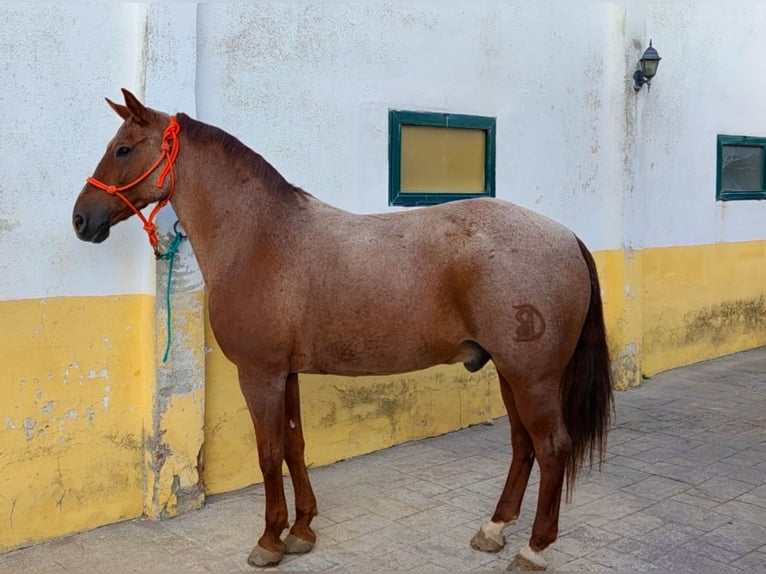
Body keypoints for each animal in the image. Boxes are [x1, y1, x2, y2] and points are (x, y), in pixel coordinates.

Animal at [70, 90, 612, 572]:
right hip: (508, 372)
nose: (81, 219)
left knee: (551, 447)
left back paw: (533, 549)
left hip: (532, 377)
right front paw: (302, 530)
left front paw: (270, 540)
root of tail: (566, 235)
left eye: (123, 148)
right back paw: (495, 529)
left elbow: (268, 454)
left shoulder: (260, 375)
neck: (260, 238)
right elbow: (294, 447)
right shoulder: (284, 374)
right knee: (523, 445)